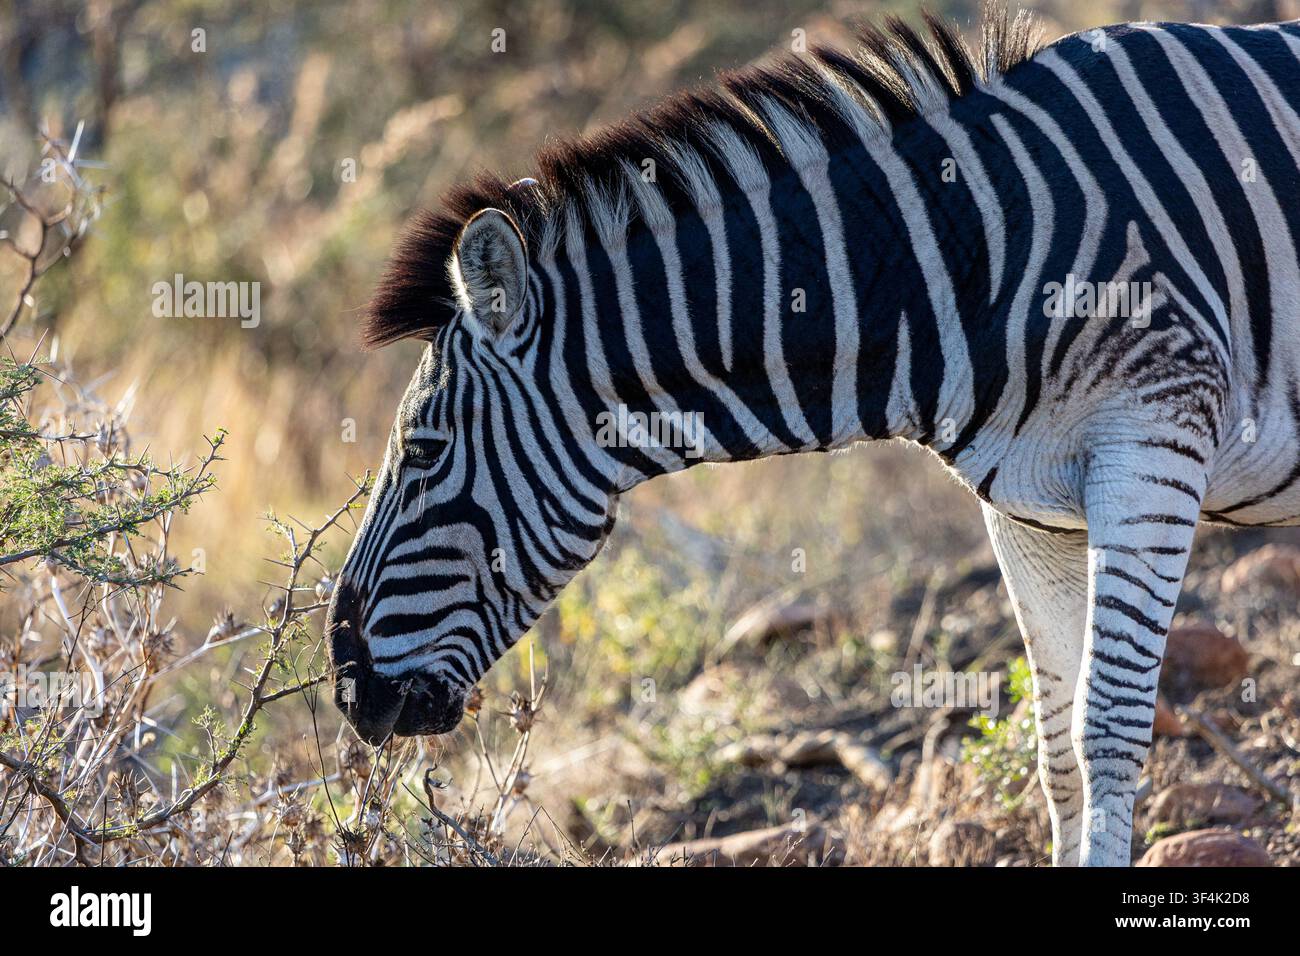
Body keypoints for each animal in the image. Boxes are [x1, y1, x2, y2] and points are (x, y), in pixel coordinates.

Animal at [324, 5, 1300, 866]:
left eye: (424, 453)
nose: (344, 679)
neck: (966, 258)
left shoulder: (1153, 445)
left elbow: (1109, 730)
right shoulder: (1031, 508)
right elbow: (1057, 748)